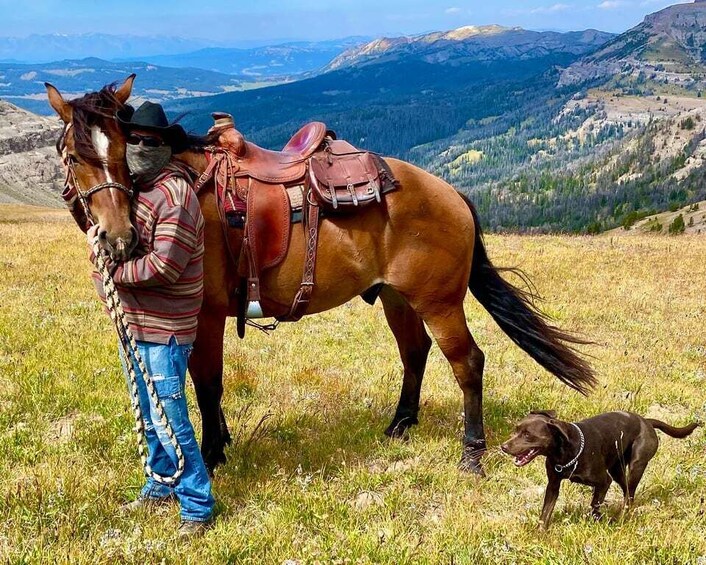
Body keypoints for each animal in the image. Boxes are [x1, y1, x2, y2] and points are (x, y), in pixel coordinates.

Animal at [45, 75, 592, 476]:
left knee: (468, 363)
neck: (189, 185)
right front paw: (221, 442)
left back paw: (471, 454)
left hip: (439, 303)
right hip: (396, 297)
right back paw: (400, 424)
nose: (118, 239)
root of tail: (453, 193)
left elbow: (207, 383)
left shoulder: (207, 314)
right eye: (73, 156)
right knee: (414, 353)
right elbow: (204, 383)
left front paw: (215, 454)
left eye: (122, 151)